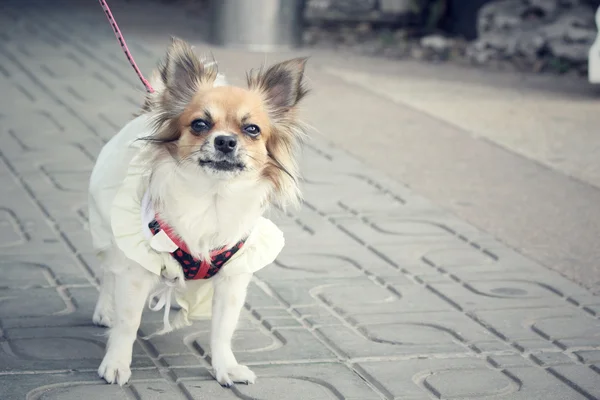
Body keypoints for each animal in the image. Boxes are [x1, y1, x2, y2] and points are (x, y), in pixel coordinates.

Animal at [89, 39, 310, 386]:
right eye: (200, 125)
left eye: (252, 129)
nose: (225, 141)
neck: (212, 198)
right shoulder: (138, 266)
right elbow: (128, 322)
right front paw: (116, 362)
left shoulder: (232, 277)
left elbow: (222, 329)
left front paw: (226, 367)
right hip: (107, 231)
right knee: (108, 272)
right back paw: (104, 309)